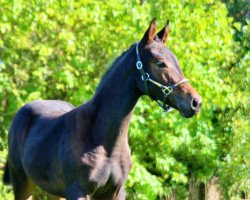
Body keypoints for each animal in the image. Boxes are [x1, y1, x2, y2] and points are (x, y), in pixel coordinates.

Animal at [3, 19, 201, 200]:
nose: (195, 102)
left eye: (176, 61)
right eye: (160, 63)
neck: (105, 143)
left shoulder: (115, 192)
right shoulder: (78, 191)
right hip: (22, 183)